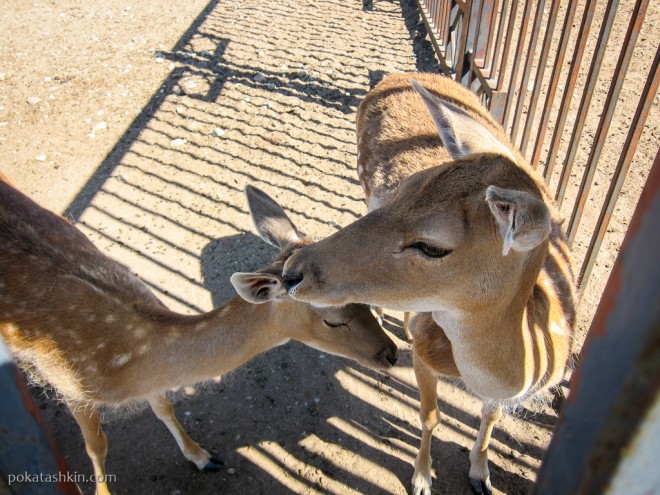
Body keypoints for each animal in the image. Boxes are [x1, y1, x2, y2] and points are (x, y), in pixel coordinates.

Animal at [0, 178, 398, 495]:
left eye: (362, 299)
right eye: (333, 319)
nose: (391, 354)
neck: (128, 358)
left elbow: (164, 406)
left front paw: (203, 457)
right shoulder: (65, 383)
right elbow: (96, 445)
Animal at [282, 74, 576, 495]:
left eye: (432, 246)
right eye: (406, 186)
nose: (292, 271)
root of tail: (391, 77)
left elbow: (491, 418)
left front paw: (481, 476)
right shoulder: (422, 353)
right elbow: (430, 416)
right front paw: (421, 478)